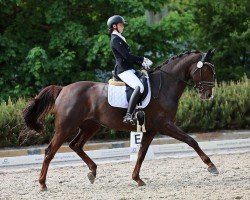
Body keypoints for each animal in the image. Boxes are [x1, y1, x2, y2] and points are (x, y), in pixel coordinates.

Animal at [23, 49, 219, 190]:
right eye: (207, 70)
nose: (208, 95)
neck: (165, 85)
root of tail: (63, 89)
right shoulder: (165, 125)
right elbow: (191, 140)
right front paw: (211, 166)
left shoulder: (151, 129)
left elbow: (141, 154)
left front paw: (137, 179)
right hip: (65, 127)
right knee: (50, 151)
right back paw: (42, 184)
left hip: (90, 126)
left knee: (75, 145)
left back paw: (92, 172)